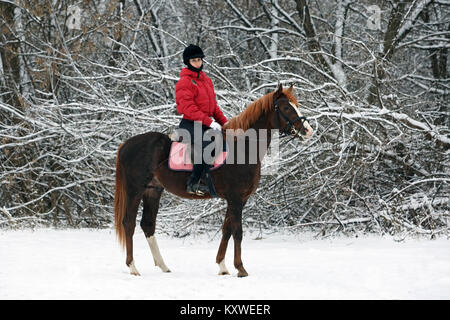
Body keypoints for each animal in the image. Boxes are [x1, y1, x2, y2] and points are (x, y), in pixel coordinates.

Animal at [113, 84, 312, 276]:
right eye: (286, 107)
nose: (308, 131)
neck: (243, 149)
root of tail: (126, 144)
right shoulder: (235, 198)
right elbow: (237, 232)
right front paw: (240, 268)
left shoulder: (240, 199)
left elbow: (227, 230)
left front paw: (222, 266)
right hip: (135, 190)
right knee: (129, 223)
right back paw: (132, 267)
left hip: (153, 190)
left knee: (147, 224)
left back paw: (163, 266)